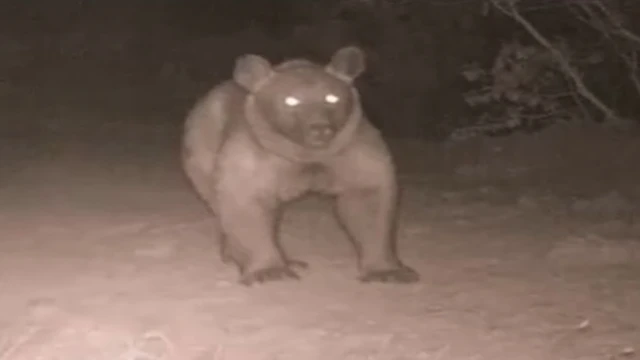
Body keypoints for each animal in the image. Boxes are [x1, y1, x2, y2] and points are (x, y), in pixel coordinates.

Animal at [180, 45, 420, 286]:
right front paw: (270, 272)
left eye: (332, 98)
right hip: (204, 144)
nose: (320, 129)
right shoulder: (254, 155)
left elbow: (368, 205)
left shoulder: (354, 148)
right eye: (291, 101)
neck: (305, 153)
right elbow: (246, 206)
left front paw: (387, 272)